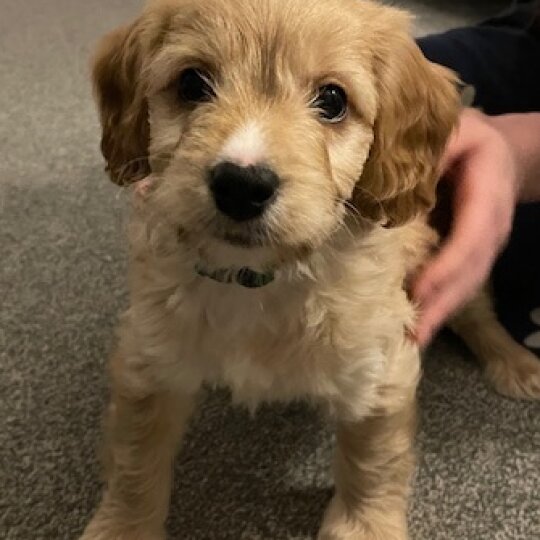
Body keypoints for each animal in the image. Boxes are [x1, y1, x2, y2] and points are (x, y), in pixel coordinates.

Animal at [80, 1, 540, 540]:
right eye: (192, 83)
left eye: (333, 99)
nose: (241, 185)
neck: (258, 279)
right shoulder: (149, 358)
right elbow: (134, 460)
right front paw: (123, 526)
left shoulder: (380, 368)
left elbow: (373, 461)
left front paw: (366, 526)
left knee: (478, 316)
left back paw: (516, 362)